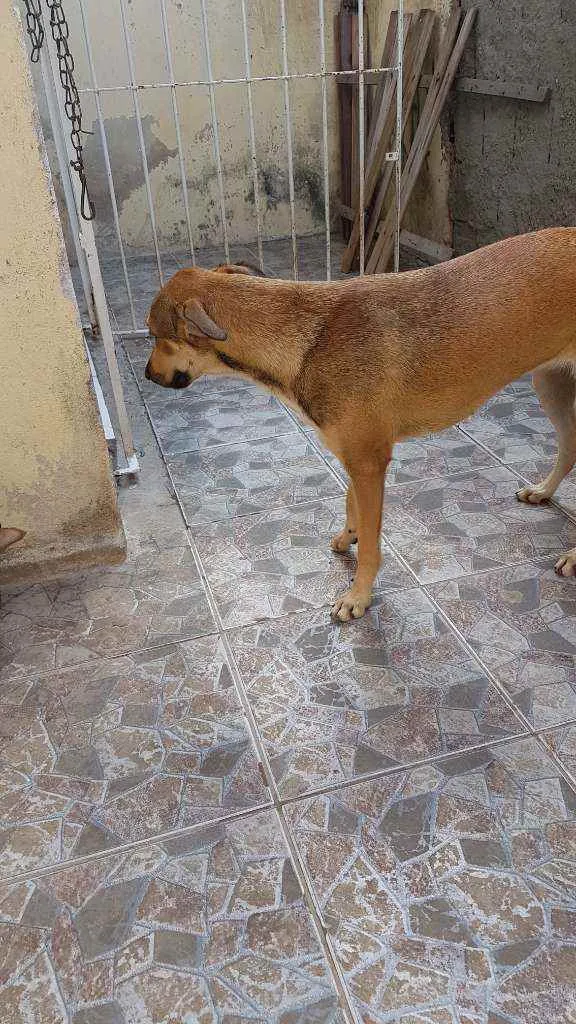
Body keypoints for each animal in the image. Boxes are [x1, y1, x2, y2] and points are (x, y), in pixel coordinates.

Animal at [145, 228, 573, 618]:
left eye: (153, 334)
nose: (147, 375)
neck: (304, 339)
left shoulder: (369, 464)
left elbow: (370, 545)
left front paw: (358, 596)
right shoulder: (353, 457)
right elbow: (350, 503)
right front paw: (347, 535)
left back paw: (571, 555)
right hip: (550, 385)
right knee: (569, 451)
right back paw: (543, 492)